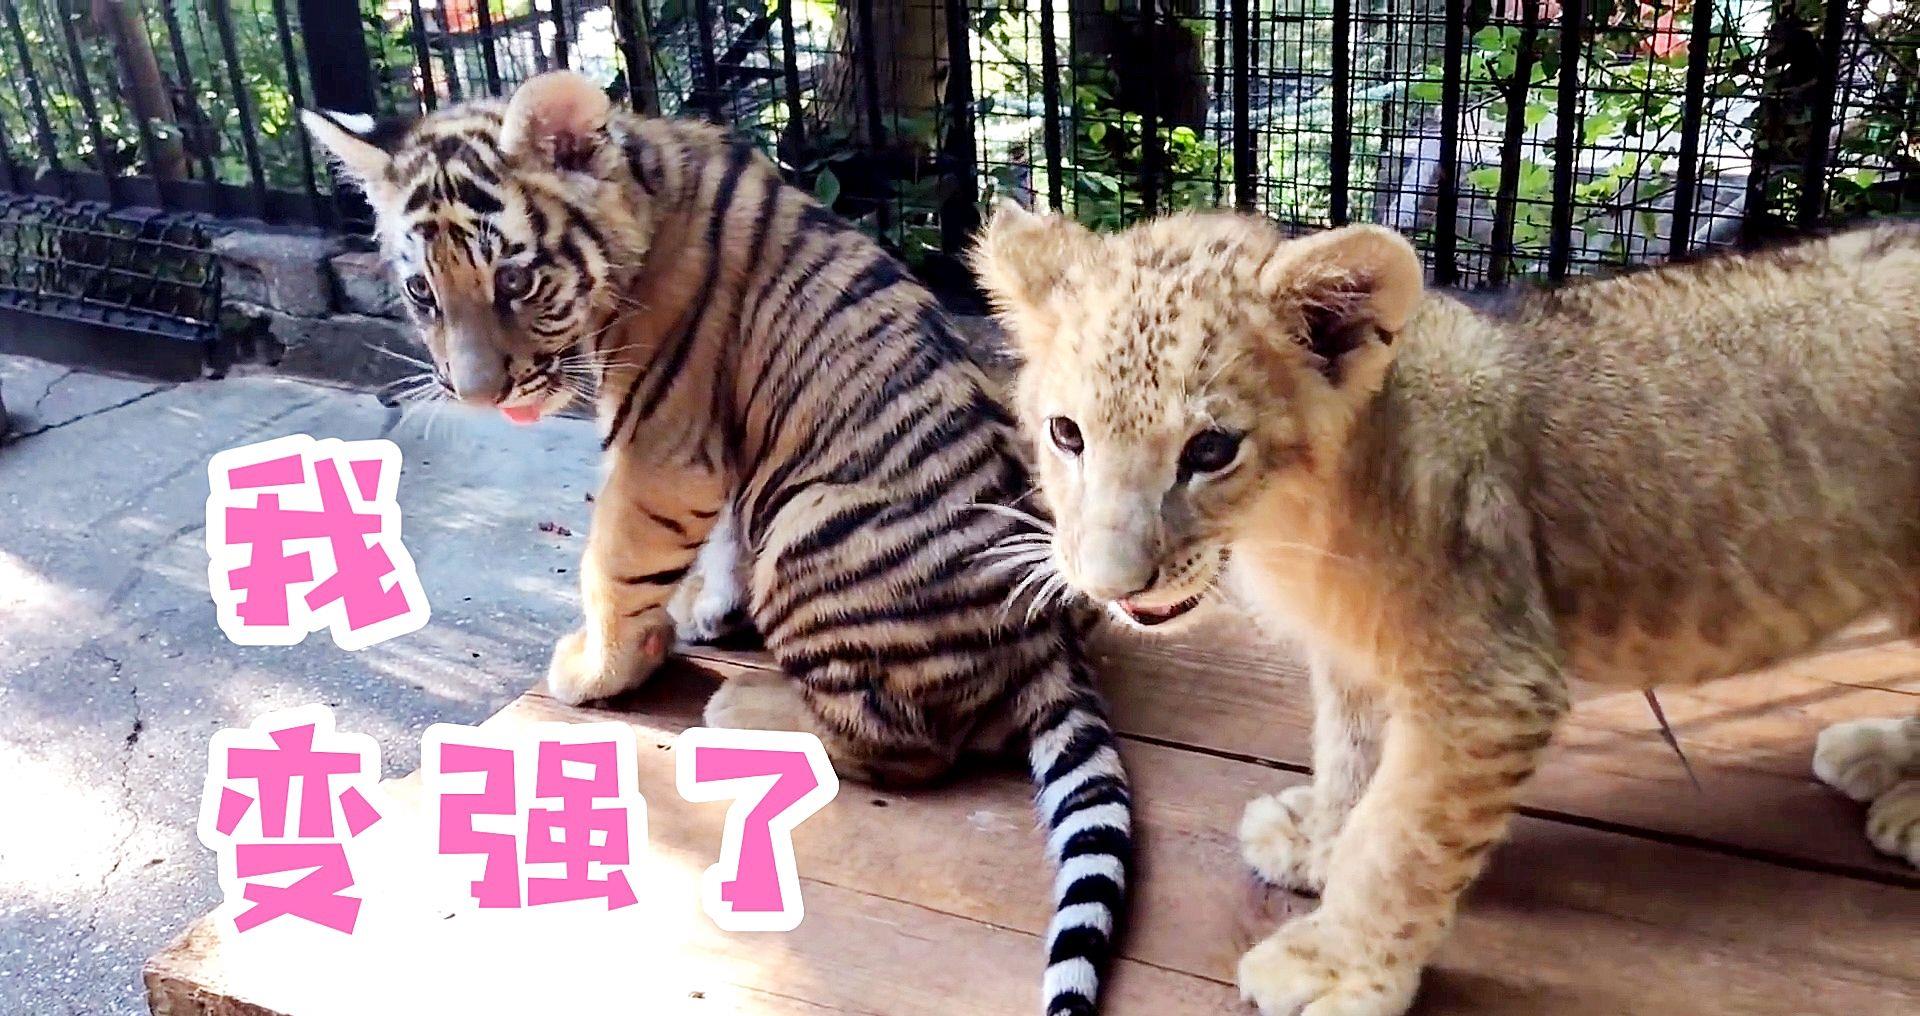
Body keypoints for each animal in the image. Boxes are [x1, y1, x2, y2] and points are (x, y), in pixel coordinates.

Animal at [302, 70, 1131, 1015]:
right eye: (421, 294)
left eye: (514, 279)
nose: (476, 396)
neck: (641, 194)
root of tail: (1046, 641)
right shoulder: (728, 456)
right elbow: (725, 540)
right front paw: (704, 612)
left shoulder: (663, 451)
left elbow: (614, 564)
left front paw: (599, 669)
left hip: (813, 521)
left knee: (908, 744)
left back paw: (743, 707)